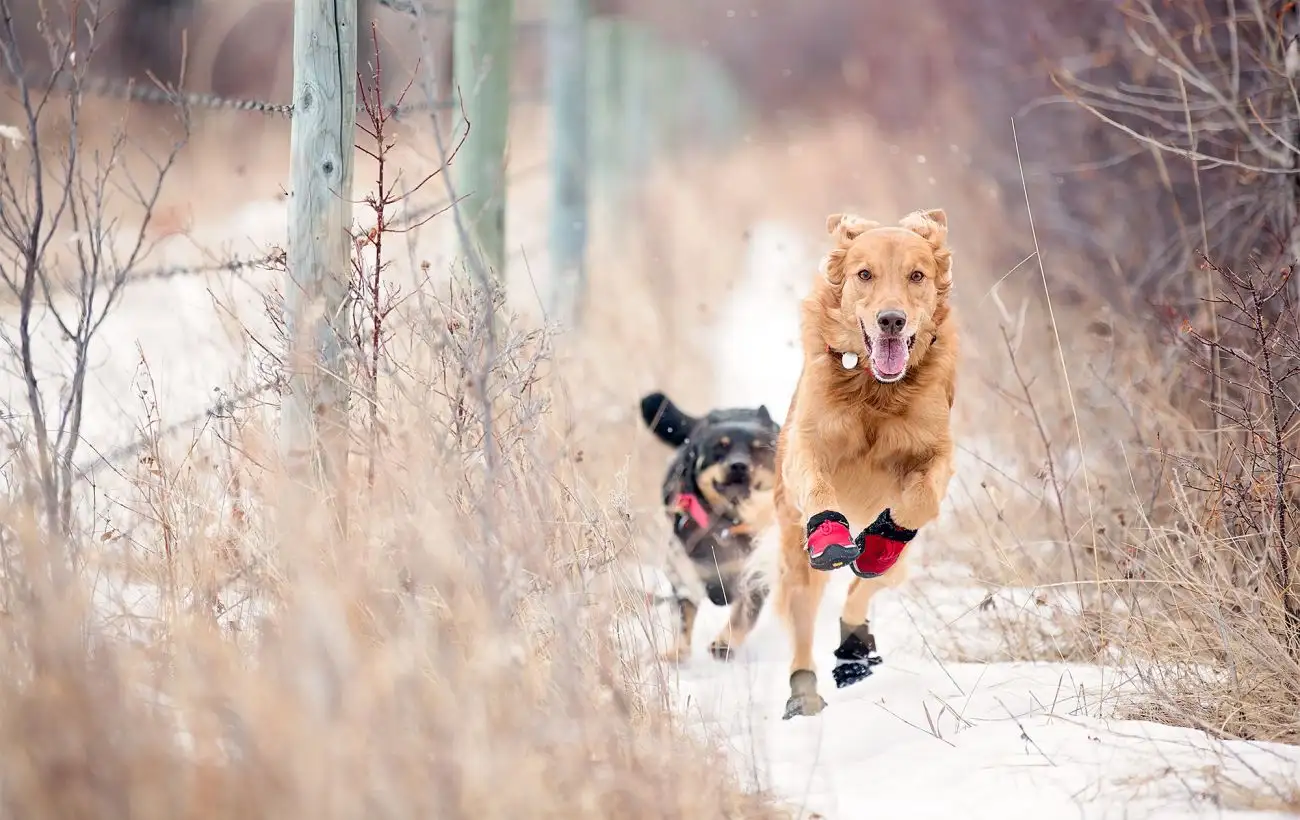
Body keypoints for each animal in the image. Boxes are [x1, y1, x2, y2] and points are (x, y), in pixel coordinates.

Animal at [642, 389, 780, 660]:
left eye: (757, 449)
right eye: (721, 447)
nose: (738, 465)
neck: (728, 523)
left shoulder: (755, 572)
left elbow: (743, 614)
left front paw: (724, 642)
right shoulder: (684, 569)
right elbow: (684, 614)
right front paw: (676, 651)